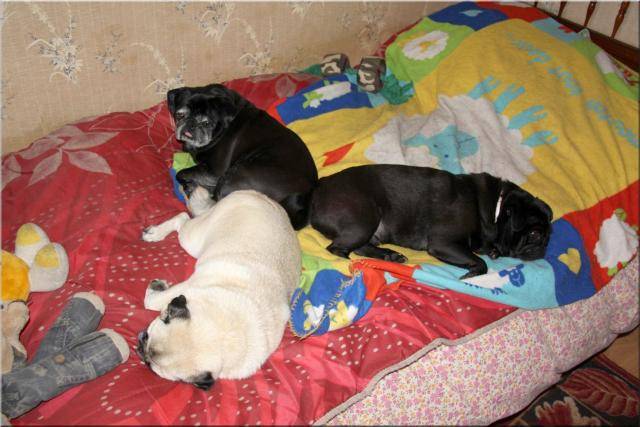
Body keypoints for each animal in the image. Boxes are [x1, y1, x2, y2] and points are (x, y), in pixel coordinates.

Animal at [137, 188, 301, 389]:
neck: (228, 333)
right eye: (148, 335)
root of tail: (262, 197)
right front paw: (157, 286)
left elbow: (150, 301)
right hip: (193, 240)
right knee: (182, 218)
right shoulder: (186, 288)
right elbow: (150, 302)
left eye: (150, 367)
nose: (140, 348)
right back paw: (155, 233)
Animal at [167, 84, 318, 230]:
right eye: (179, 115)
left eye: (206, 123)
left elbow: (181, 173)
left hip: (236, 173)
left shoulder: (215, 172)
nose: (190, 125)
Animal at [309, 165, 552, 279]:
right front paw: (472, 273)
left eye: (548, 234)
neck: (495, 207)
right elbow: (480, 264)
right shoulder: (444, 244)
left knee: (359, 247)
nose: (544, 247)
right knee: (339, 249)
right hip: (363, 220)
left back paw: (389, 256)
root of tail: (321, 185)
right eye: (534, 234)